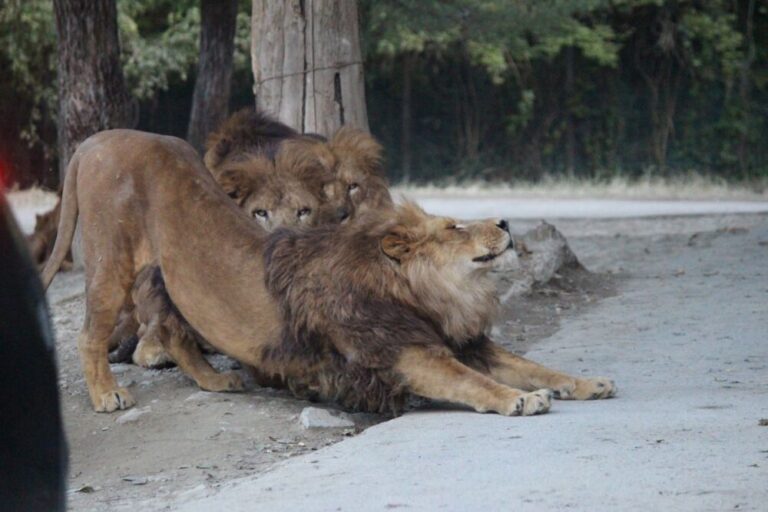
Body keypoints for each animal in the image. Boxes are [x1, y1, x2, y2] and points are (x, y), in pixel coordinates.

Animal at [43, 130, 616, 414]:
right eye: (454, 226)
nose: (504, 221)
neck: (428, 295)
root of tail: (96, 139)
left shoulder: (463, 340)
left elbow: (534, 365)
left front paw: (587, 382)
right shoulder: (403, 352)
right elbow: (473, 383)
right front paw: (519, 399)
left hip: (166, 277)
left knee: (173, 332)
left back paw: (215, 381)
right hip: (112, 260)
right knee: (91, 334)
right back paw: (106, 396)